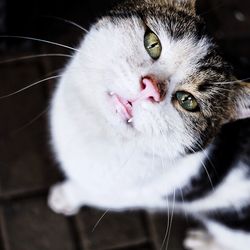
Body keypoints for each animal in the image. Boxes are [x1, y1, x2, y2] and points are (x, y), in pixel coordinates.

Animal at [47, 0, 250, 249]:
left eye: (187, 101)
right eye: (152, 43)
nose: (150, 88)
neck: (100, 132)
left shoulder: (126, 195)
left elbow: (86, 190)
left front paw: (65, 196)